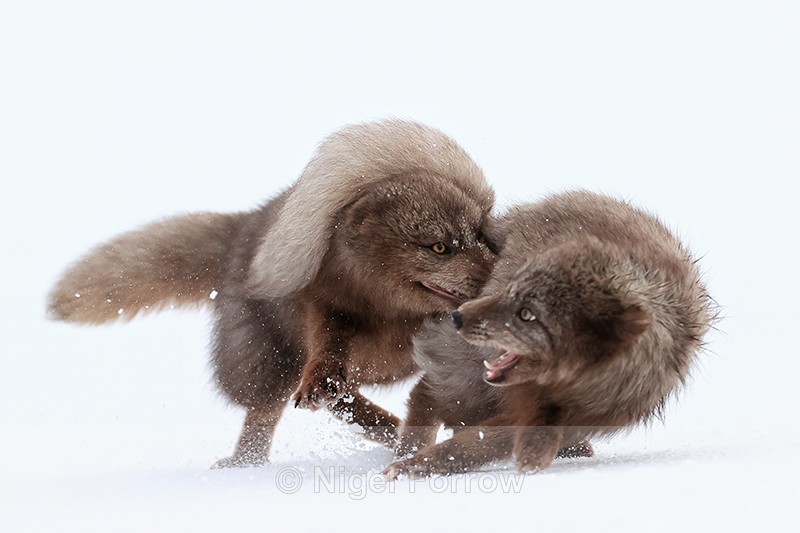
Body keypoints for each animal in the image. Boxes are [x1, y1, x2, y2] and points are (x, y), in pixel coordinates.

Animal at [48, 119, 496, 467]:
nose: (497, 274)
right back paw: (246, 465)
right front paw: (324, 381)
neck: (393, 315)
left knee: (349, 405)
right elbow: (328, 348)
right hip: (266, 362)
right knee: (267, 414)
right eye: (440, 247)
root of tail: (244, 228)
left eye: (481, 237)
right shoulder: (326, 307)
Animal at [385, 190, 714, 478]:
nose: (459, 316)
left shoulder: (572, 417)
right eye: (512, 292)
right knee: (426, 393)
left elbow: (479, 444)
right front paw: (411, 466)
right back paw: (408, 448)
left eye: (527, 314)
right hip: (466, 367)